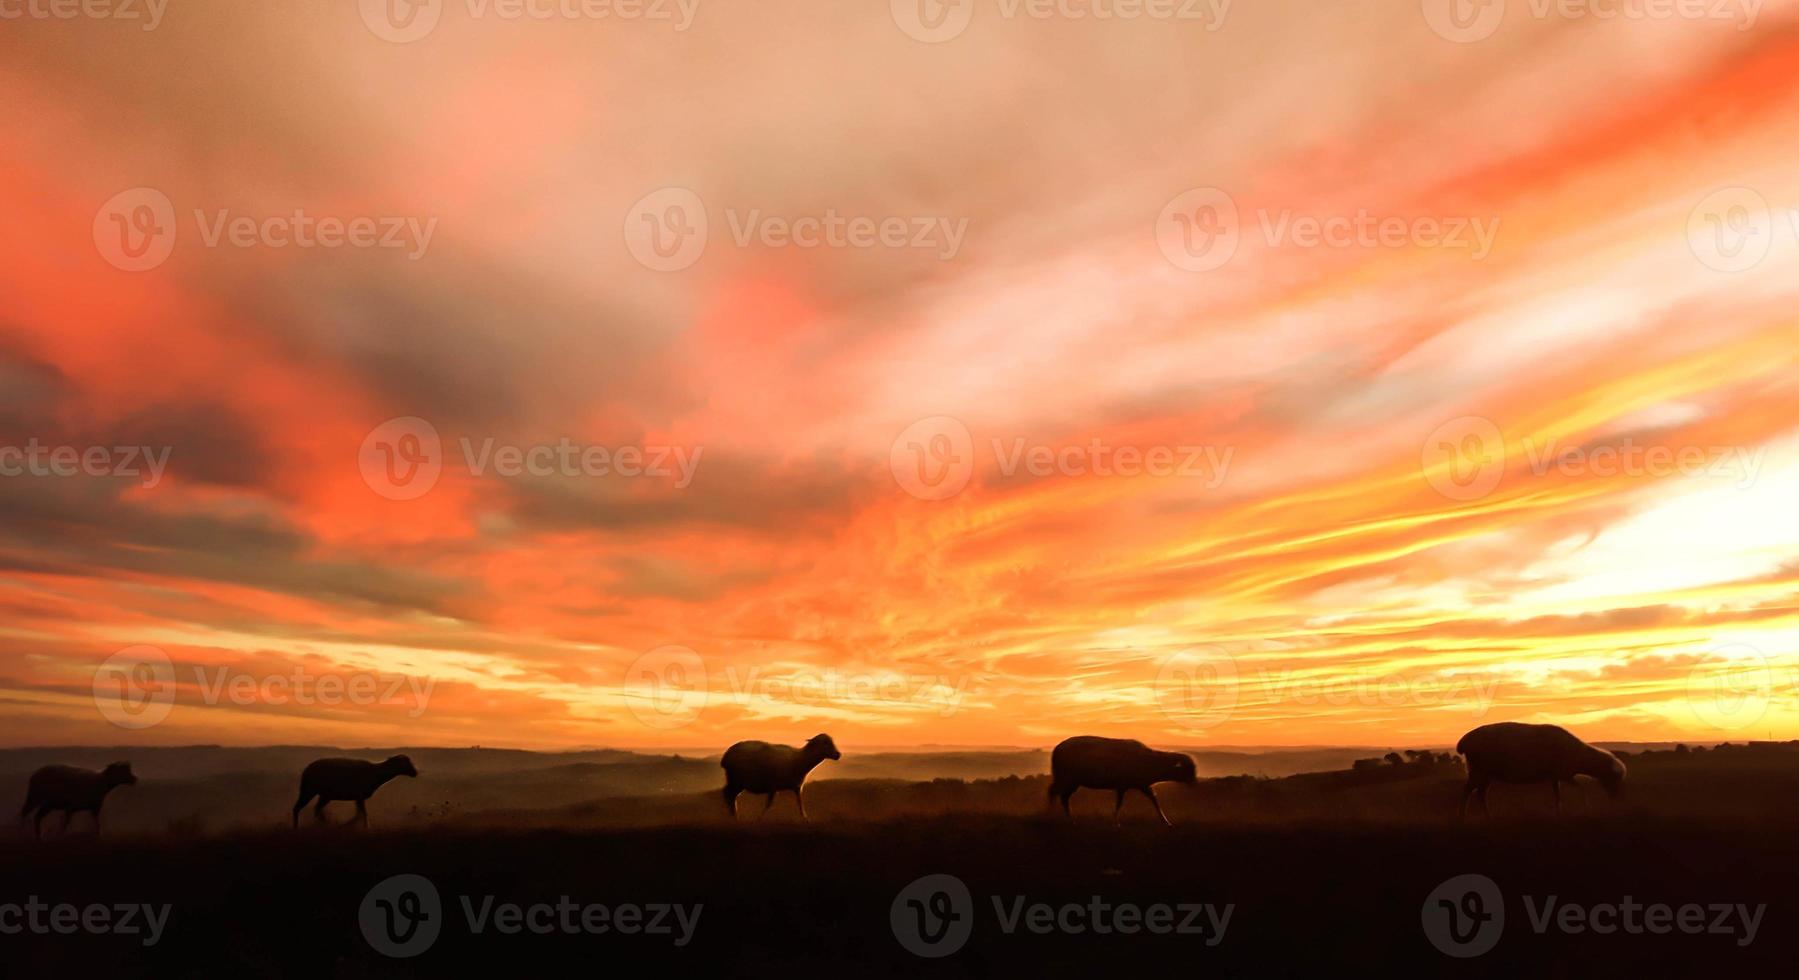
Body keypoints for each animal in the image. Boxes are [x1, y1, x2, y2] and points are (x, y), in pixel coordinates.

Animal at [1050, 733, 1201, 827]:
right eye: (1188, 769)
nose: (1194, 783)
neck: (1150, 762)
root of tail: (1057, 749)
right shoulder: (1123, 785)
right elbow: (1119, 804)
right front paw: (1116, 822)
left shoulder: (1141, 785)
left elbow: (1154, 800)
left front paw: (1166, 822)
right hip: (1066, 778)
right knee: (1054, 793)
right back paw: (1052, 815)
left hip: (1073, 781)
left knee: (1063, 797)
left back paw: (1069, 820)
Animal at [1453, 719, 1626, 816]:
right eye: (1615, 777)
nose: (1616, 798)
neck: (1580, 756)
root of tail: (1464, 742)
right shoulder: (1564, 774)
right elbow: (1581, 787)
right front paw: (1586, 807)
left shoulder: (1556, 776)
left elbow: (1557, 795)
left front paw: (1559, 812)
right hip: (1480, 769)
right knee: (1468, 791)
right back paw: (1463, 816)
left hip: (1485, 772)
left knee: (1480, 793)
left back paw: (1487, 816)